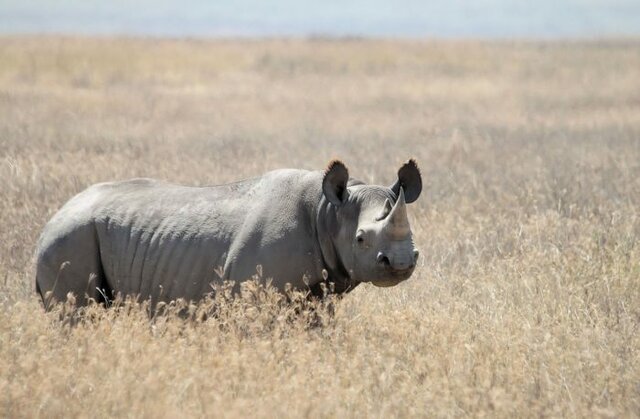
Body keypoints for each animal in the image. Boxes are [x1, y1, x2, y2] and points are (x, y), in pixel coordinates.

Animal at [35, 159, 422, 309]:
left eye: (415, 242)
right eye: (360, 239)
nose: (401, 262)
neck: (327, 213)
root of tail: (51, 220)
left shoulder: (317, 296)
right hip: (70, 237)